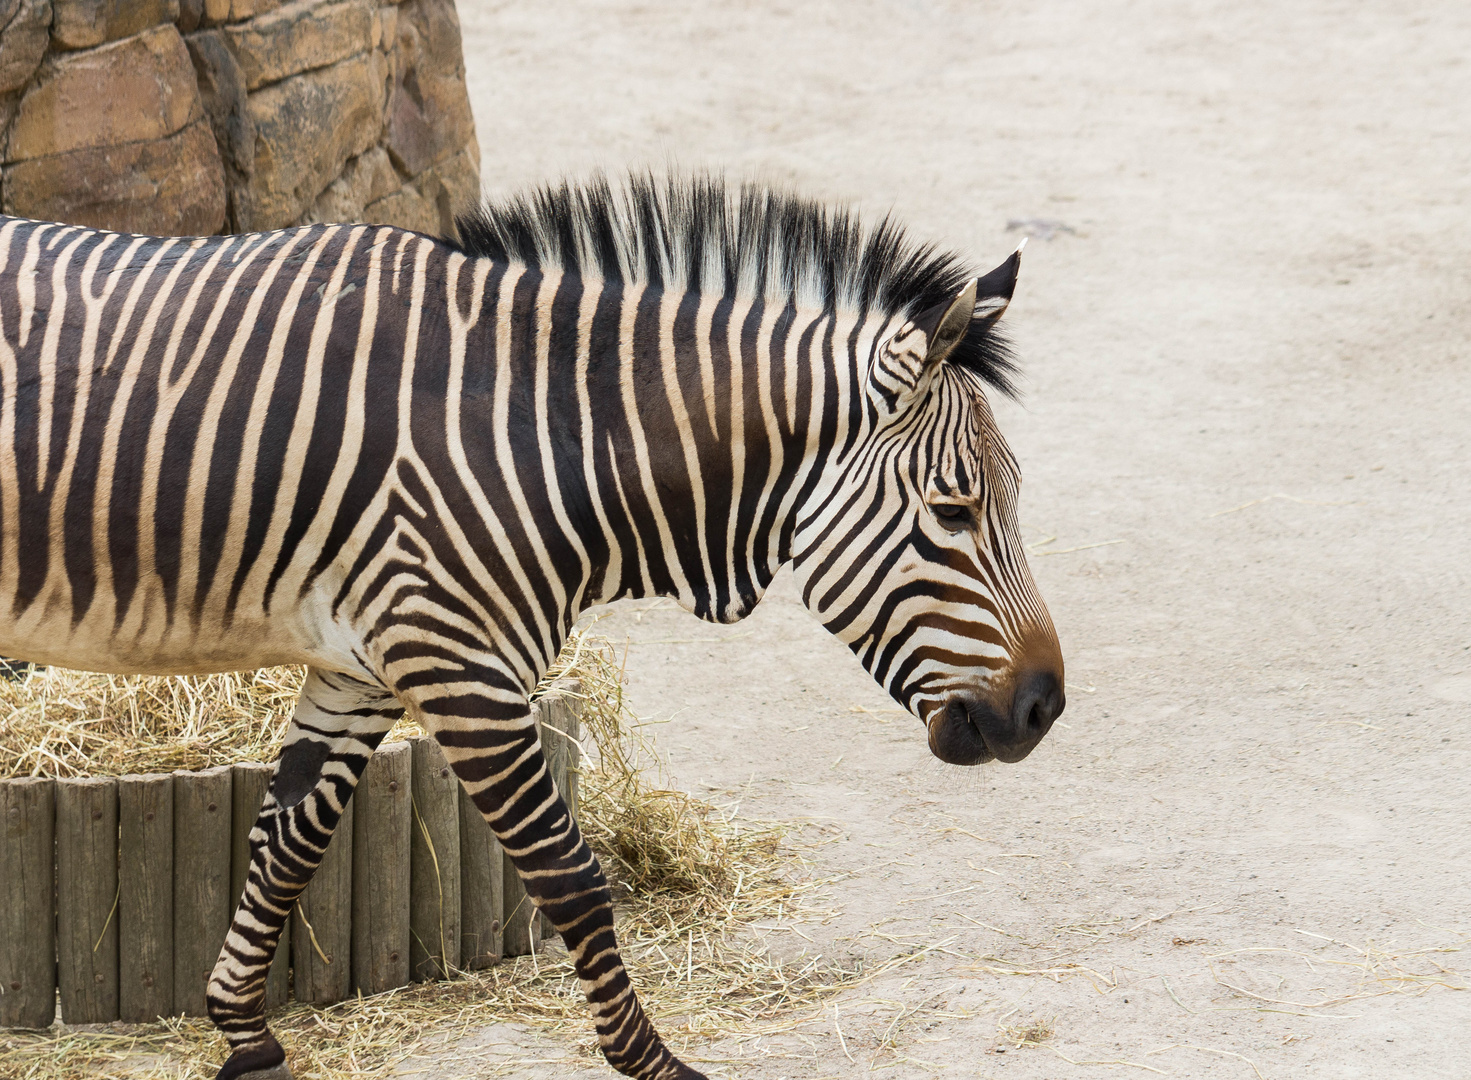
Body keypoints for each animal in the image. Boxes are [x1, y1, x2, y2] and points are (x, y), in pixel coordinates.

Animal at [0, 173, 1065, 1077]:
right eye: (954, 512)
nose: (1044, 708)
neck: (545, 434)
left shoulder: (362, 664)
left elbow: (288, 839)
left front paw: (246, 1037)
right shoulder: (458, 664)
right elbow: (571, 879)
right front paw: (656, 1065)